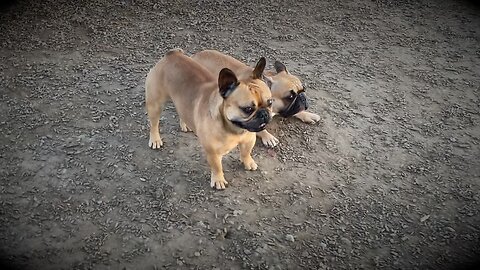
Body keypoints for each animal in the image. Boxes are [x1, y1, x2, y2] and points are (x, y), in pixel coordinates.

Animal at [145, 49, 274, 190]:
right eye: (248, 109)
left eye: (270, 103)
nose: (264, 113)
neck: (234, 129)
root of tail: (172, 54)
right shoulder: (213, 153)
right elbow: (217, 167)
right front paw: (218, 180)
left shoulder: (248, 140)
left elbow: (246, 152)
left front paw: (248, 162)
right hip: (155, 104)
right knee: (154, 124)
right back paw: (155, 140)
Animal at [190, 50, 318, 148]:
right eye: (290, 97)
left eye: (303, 90)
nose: (303, 98)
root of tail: (195, 56)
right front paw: (268, 136)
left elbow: (297, 111)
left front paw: (308, 115)